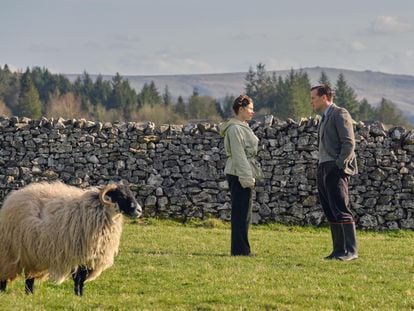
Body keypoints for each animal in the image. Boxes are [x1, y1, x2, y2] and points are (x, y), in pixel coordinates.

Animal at [0, 179, 142, 296]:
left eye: (131, 193)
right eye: (121, 195)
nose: (139, 210)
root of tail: (10, 199)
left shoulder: (88, 258)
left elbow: (81, 279)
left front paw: (80, 296)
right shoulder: (80, 254)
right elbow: (78, 279)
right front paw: (78, 296)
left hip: (31, 255)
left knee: (29, 278)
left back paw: (29, 294)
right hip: (10, 252)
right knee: (5, 274)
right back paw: (4, 292)